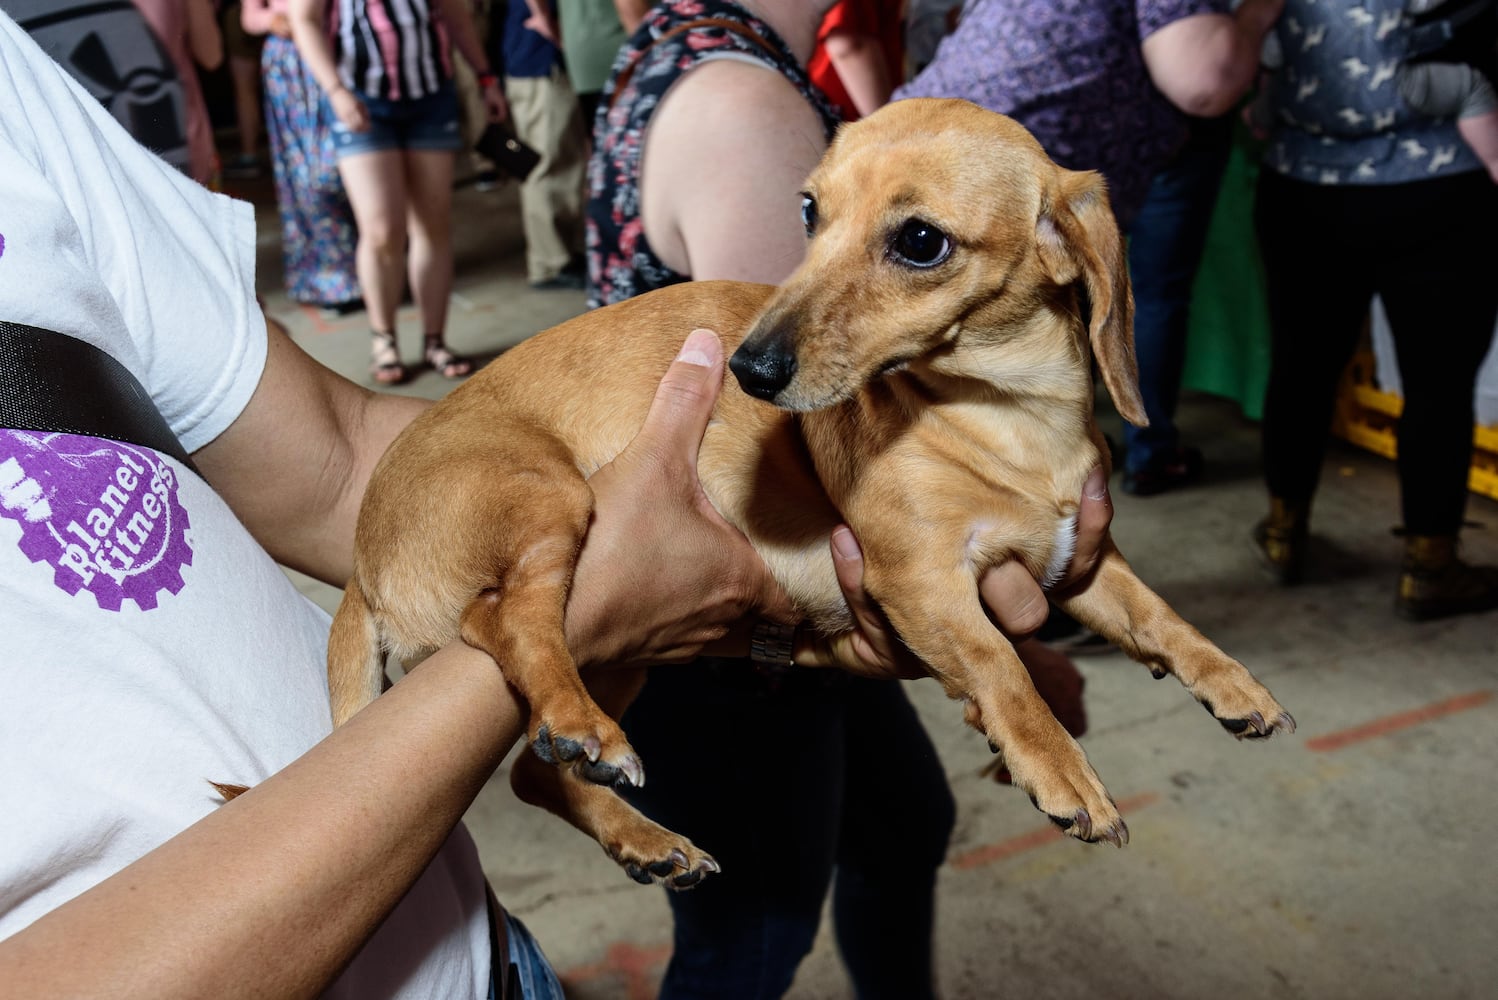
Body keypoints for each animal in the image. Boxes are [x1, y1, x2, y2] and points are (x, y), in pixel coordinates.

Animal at [328, 97, 1288, 886]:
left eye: (920, 241)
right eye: (808, 210)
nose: (747, 369)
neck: (1008, 419)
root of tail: (362, 569)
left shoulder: (1080, 564)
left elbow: (1162, 619)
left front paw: (1234, 685)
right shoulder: (920, 580)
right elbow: (1005, 668)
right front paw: (1060, 769)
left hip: (624, 653)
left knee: (535, 771)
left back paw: (644, 838)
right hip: (553, 502)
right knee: (506, 622)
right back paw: (581, 724)